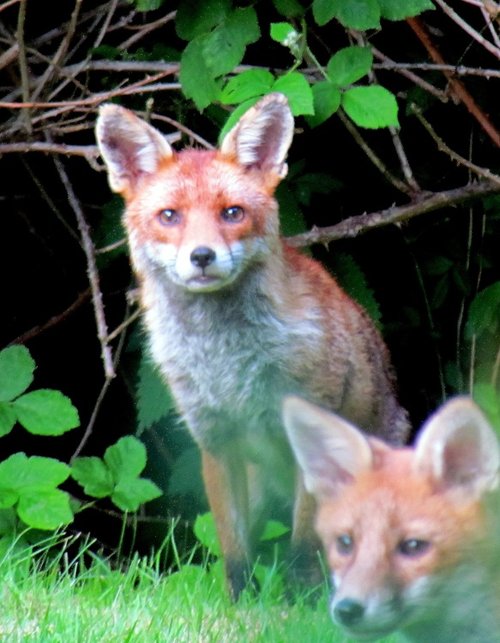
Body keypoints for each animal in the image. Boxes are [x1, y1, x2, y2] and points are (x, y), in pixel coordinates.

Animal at [95, 93, 409, 599]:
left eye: (232, 213)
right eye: (170, 217)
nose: (202, 256)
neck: (227, 362)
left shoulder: (310, 442)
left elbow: (303, 549)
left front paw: (297, 605)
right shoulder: (215, 441)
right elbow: (234, 548)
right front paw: (240, 604)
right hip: (260, 488)